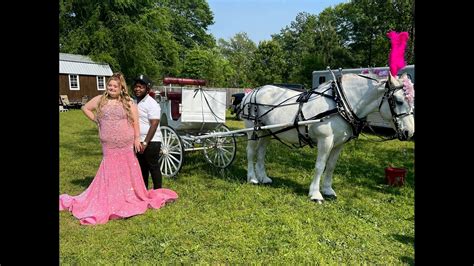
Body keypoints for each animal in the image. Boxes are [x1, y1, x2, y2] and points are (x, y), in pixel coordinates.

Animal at [241, 72, 414, 202]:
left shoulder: (339, 143)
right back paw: (252, 178)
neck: (340, 103)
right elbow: (320, 165)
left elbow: (330, 166)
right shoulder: (325, 140)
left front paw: (328, 190)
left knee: (261, 154)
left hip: (266, 132)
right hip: (252, 130)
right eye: (398, 101)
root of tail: (251, 93)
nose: (410, 132)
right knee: (251, 152)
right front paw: (315, 194)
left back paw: (263, 177)